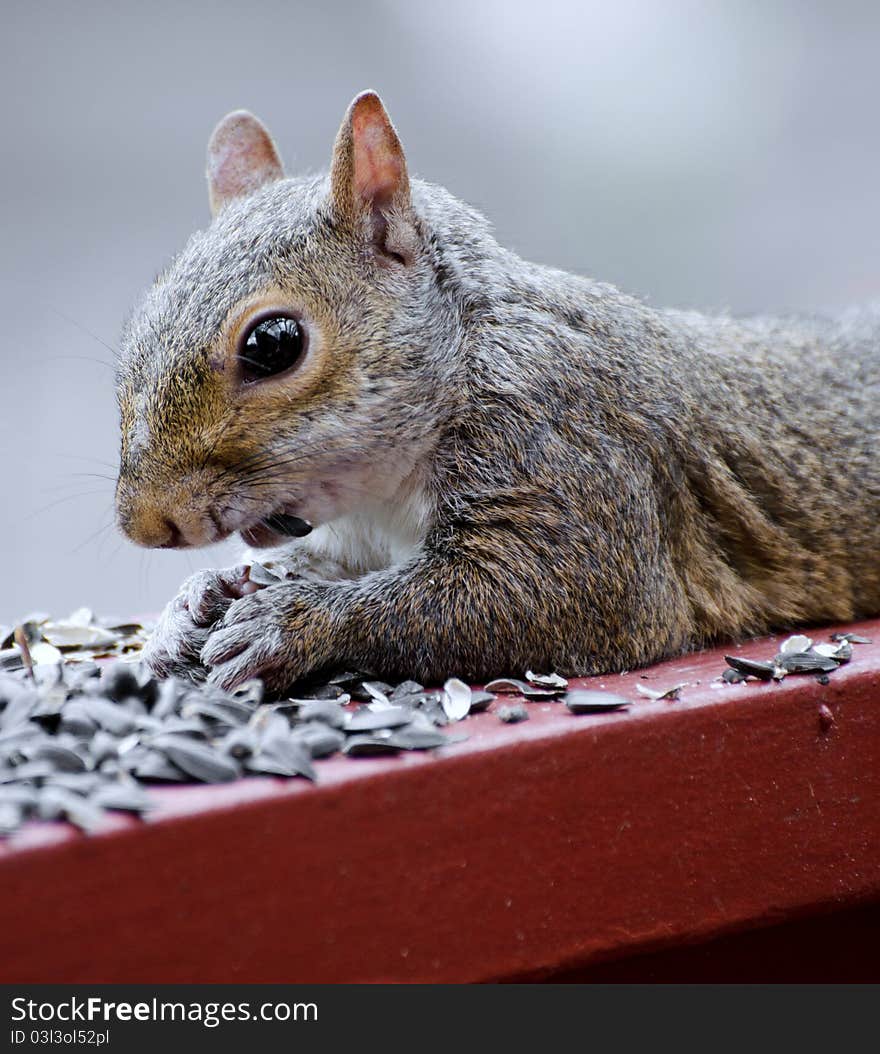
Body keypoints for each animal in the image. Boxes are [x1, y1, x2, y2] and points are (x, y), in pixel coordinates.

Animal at [113, 86, 880, 687]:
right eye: (140, 320)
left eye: (273, 344)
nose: (145, 525)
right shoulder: (361, 534)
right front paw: (200, 601)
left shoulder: (570, 456)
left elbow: (537, 593)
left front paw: (289, 621)